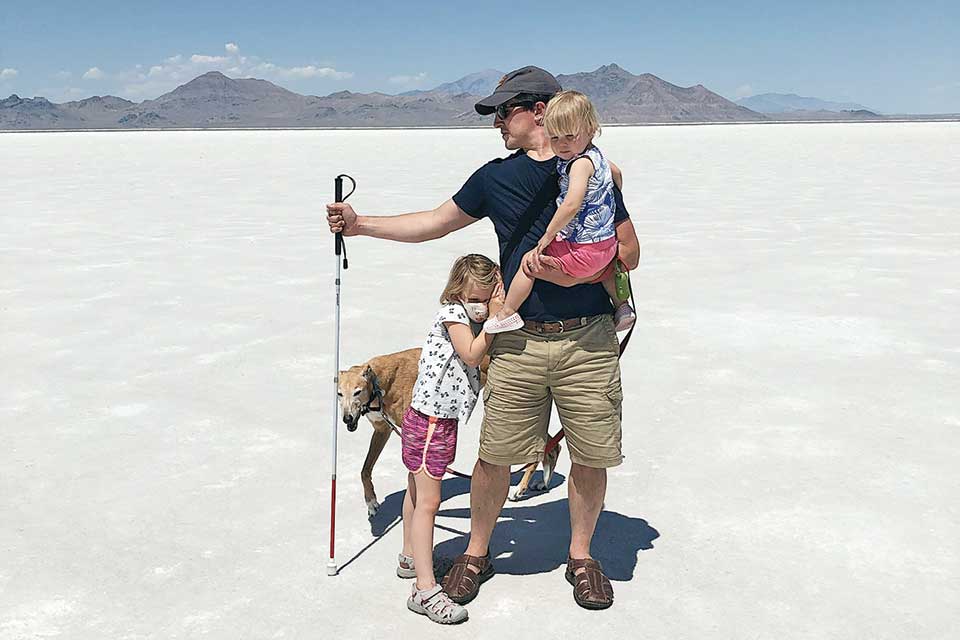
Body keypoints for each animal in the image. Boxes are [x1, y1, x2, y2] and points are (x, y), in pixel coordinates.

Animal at [340, 348, 560, 516]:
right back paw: (543, 482)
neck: (379, 383)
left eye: (357, 392)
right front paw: (371, 501)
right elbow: (365, 470)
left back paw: (520, 488)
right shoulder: (382, 429)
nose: (347, 419)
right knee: (553, 447)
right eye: (340, 394)